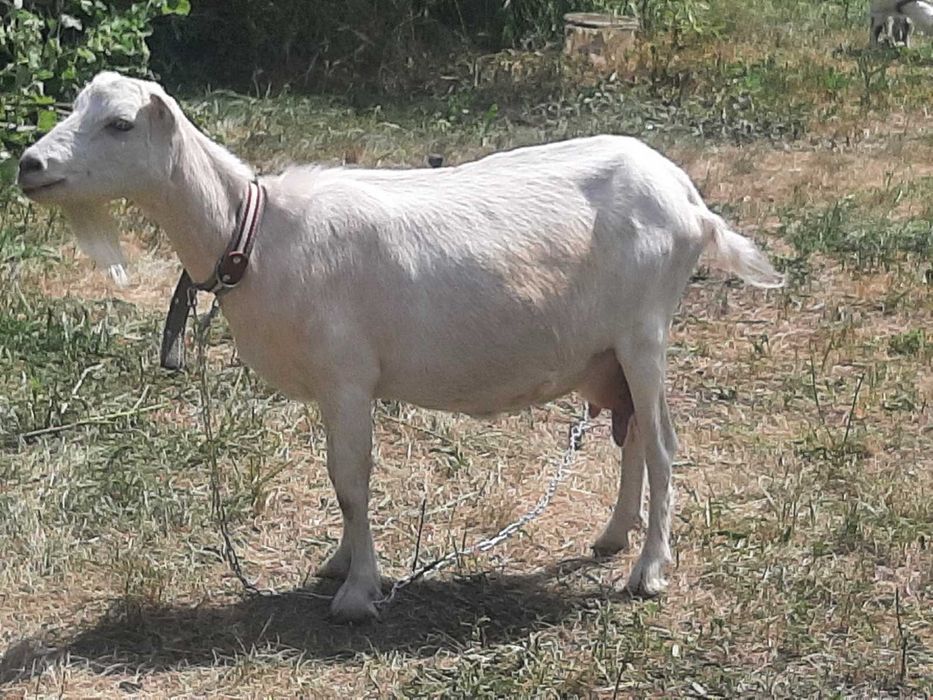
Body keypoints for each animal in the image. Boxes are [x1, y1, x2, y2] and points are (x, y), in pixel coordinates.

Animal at [17, 72, 783, 621]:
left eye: (118, 123)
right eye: (75, 106)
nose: (29, 163)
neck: (254, 234)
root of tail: (689, 200)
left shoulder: (347, 374)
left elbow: (350, 480)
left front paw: (357, 593)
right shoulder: (333, 387)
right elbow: (343, 482)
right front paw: (340, 564)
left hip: (644, 332)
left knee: (661, 444)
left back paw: (647, 572)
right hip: (612, 351)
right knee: (631, 436)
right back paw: (612, 537)